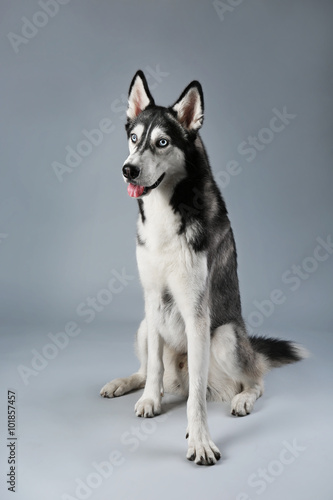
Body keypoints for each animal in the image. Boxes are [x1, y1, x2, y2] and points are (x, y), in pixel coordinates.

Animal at [100, 70, 306, 464]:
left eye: (162, 142)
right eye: (134, 139)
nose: (128, 170)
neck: (166, 214)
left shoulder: (196, 311)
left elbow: (196, 398)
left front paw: (199, 440)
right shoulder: (152, 298)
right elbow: (153, 368)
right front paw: (149, 400)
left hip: (224, 338)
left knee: (255, 380)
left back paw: (242, 399)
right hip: (145, 325)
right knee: (150, 369)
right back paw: (128, 383)